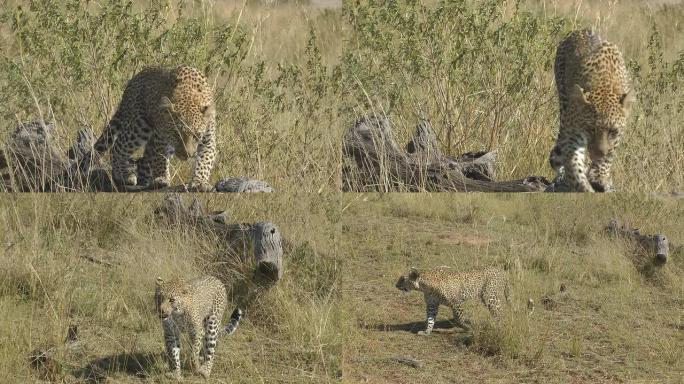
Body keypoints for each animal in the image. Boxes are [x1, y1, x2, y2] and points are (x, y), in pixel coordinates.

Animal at [94, 66, 216, 194]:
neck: (189, 96)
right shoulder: (161, 136)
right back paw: (124, 175)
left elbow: (205, 160)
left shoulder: (208, 138)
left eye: (196, 135)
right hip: (139, 127)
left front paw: (199, 182)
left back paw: (144, 181)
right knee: (118, 146)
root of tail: (133, 80)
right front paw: (161, 178)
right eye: (176, 134)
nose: (188, 155)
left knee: (144, 159)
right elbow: (160, 157)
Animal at [548, 27, 632, 192]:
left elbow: (609, 155)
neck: (604, 86)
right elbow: (574, 164)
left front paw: (599, 176)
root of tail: (582, 29)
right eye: (591, 129)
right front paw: (583, 185)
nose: (599, 153)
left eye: (613, 131)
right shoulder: (573, 132)